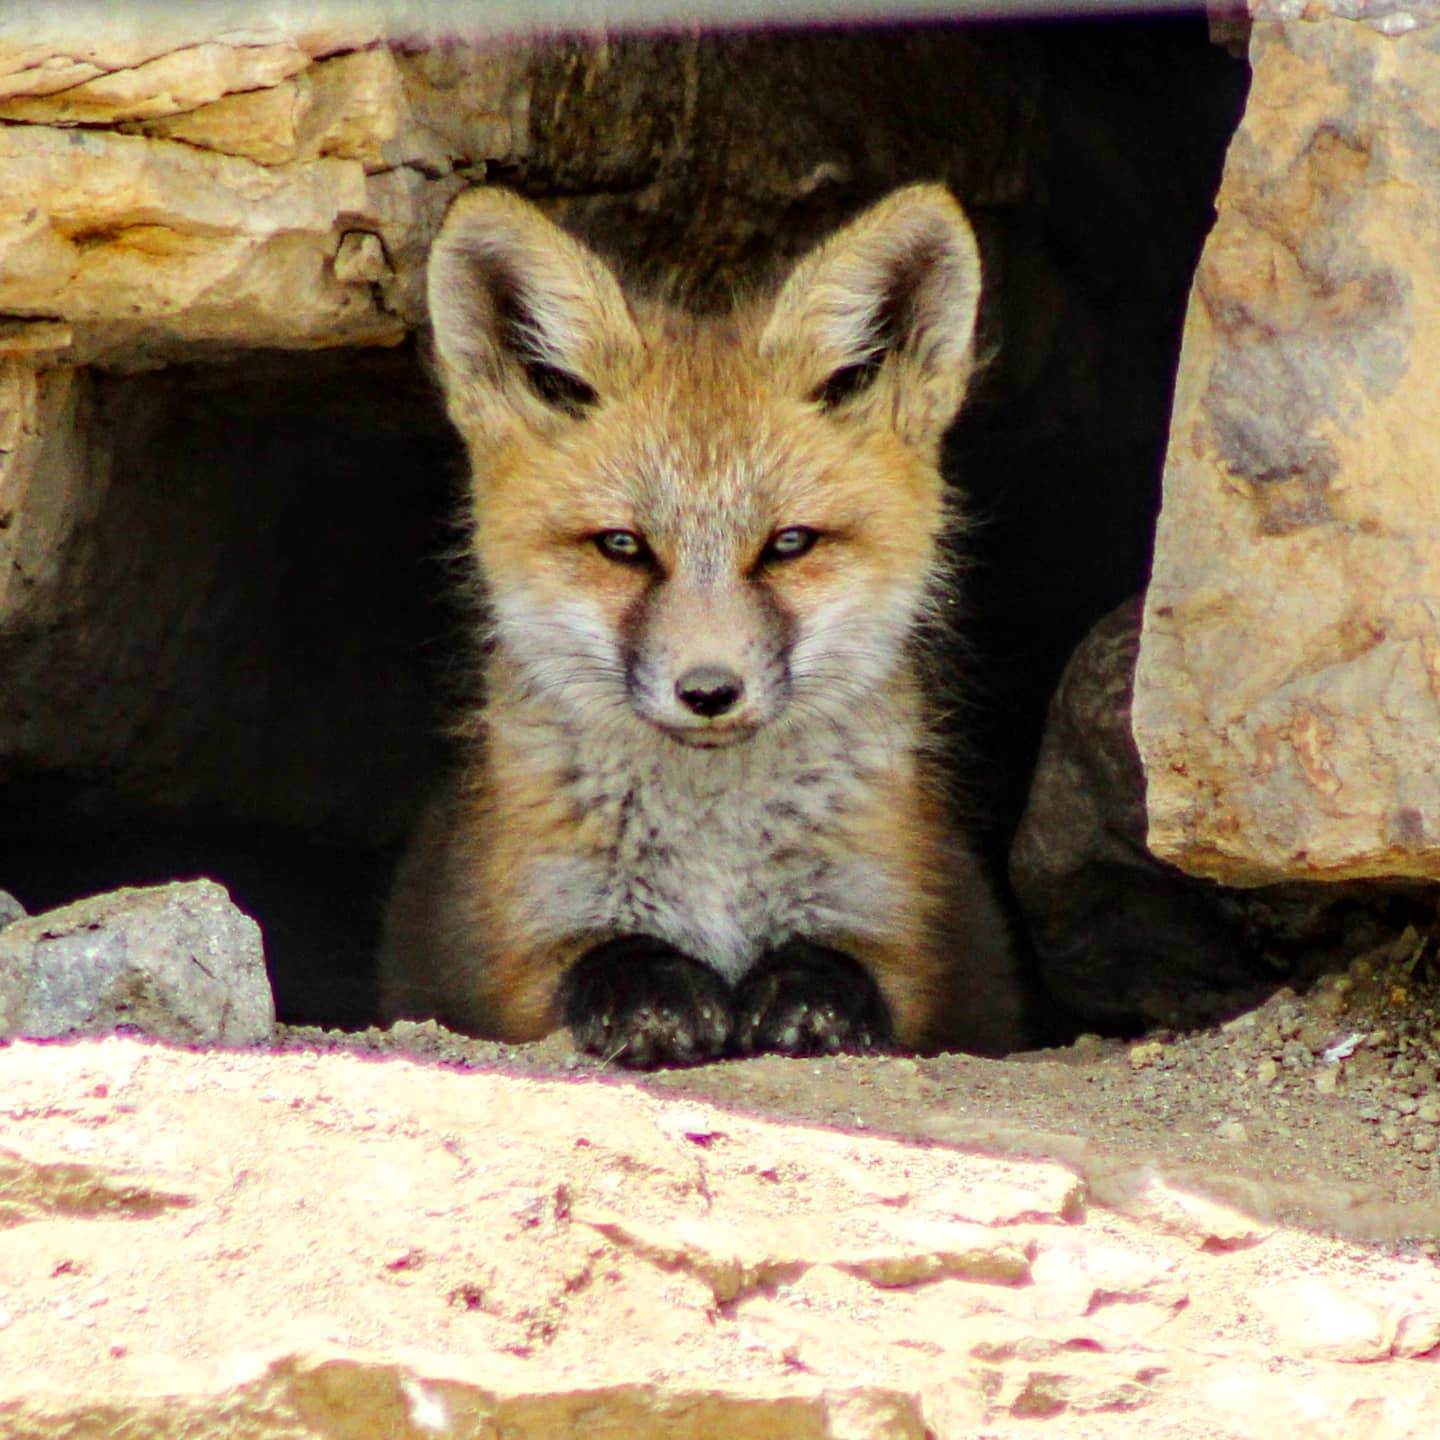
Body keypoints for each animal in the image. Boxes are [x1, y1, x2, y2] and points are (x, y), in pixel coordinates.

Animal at [379, 182, 1027, 1067]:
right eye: (623, 546)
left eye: (789, 544)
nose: (710, 691)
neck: (713, 850)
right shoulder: (525, 941)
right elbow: (603, 959)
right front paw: (654, 1000)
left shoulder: (895, 929)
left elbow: (845, 968)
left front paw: (809, 1000)